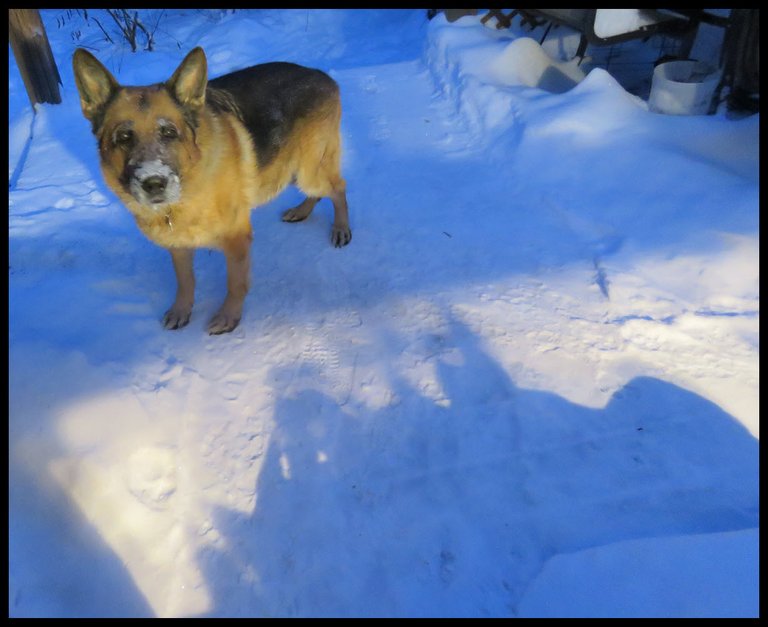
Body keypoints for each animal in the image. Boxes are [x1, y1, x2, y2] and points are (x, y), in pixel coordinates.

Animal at [73, 47, 350, 334]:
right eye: (124, 137)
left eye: (169, 132)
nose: (154, 183)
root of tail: (321, 75)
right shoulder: (178, 246)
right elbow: (185, 281)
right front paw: (182, 310)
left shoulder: (237, 243)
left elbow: (235, 284)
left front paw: (229, 317)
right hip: (293, 170)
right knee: (321, 192)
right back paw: (301, 211)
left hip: (309, 171)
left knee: (338, 188)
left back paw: (341, 228)